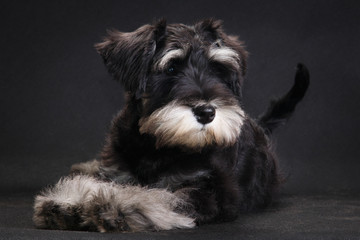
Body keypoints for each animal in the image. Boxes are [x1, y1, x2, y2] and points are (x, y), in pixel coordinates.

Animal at [32, 18, 308, 232]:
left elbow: (162, 197)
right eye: (172, 68)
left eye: (217, 69)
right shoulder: (116, 170)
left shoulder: (213, 190)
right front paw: (66, 202)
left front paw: (114, 207)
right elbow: (98, 181)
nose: (207, 112)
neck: (157, 144)